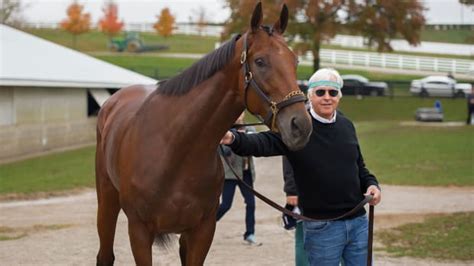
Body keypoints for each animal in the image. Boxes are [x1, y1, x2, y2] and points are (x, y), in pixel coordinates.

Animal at [94, 2, 312, 266]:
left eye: (295, 61)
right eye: (260, 61)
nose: (300, 125)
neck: (175, 150)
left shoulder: (202, 231)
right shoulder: (139, 231)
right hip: (107, 203)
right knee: (105, 254)